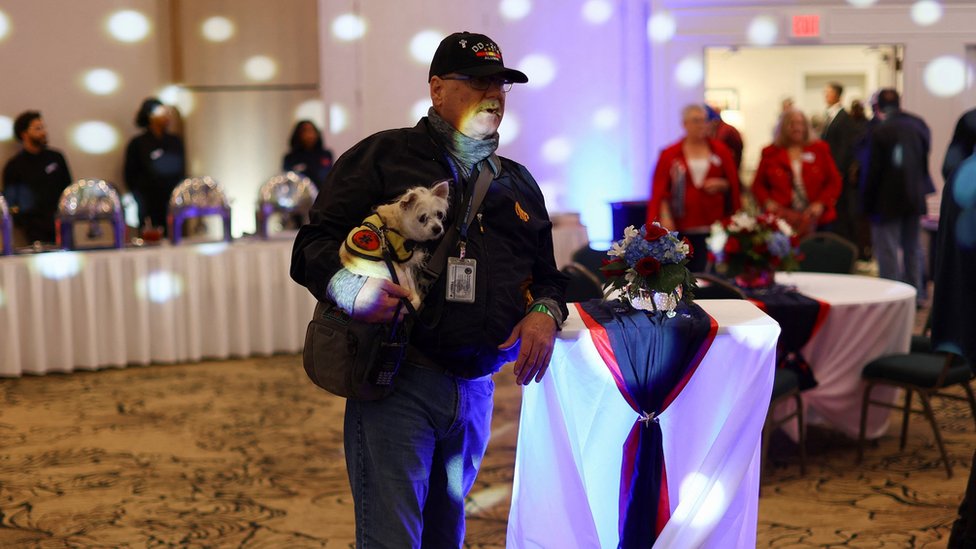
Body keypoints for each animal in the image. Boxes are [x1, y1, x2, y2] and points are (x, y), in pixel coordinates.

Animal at [342, 180, 452, 308]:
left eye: (439, 215)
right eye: (422, 218)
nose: (437, 229)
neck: (399, 222)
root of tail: (350, 261)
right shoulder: (403, 255)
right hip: (398, 274)